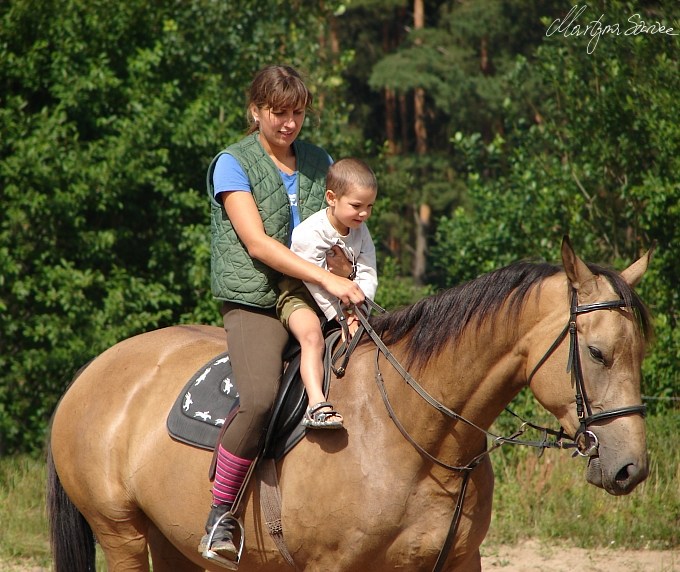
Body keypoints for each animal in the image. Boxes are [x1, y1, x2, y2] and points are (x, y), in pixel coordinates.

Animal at [45, 237, 652, 572]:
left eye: (639, 351)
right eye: (597, 352)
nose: (632, 467)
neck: (411, 431)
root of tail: (92, 373)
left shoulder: (460, 560)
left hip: (170, 542)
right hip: (121, 533)